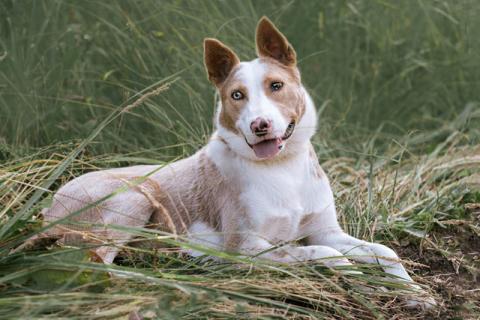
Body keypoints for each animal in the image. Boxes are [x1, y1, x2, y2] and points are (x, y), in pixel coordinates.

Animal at [41, 16, 436, 308]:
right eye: (236, 95)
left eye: (276, 86)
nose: (259, 125)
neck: (281, 167)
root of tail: (47, 209)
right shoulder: (247, 246)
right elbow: (326, 255)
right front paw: (360, 284)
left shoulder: (326, 230)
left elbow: (384, 251)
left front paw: (415, 293)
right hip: (132, 198)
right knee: (96, 263)